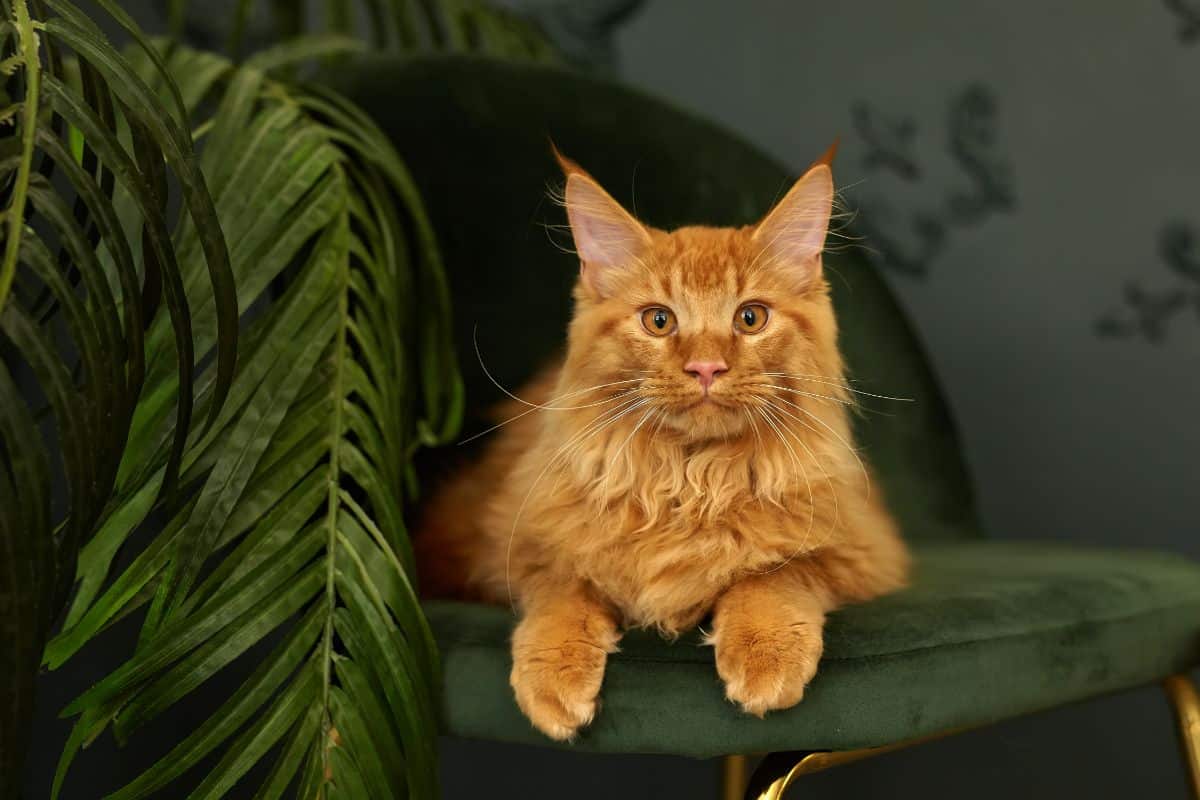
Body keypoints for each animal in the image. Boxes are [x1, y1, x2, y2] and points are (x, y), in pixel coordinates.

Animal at [415, 148, 907, 738]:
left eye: (750, 317)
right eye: (658, 320)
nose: (706, 367)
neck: (690, 478)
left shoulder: (860, 549)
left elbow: (774, 572)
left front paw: (765, 655)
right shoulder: (519, 543)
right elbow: (564, 586)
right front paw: (554, 677)